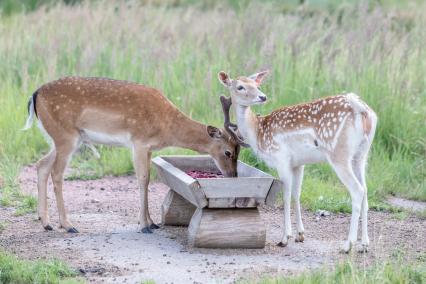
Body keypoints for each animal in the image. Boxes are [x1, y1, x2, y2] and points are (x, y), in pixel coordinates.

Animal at [23, 76, 243, 233]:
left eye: (239, 151)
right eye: (228, 152)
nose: (233, 175)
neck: (167, 126)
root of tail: (35, 94)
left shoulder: (149, 148)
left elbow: (146, 179)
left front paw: (151, 222)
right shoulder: (139, 142)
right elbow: (143, 179)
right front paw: (144, 226)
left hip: (61, 139)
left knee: (42, 165)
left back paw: (46, 223)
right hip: (66, 137)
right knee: (56, 173)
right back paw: (68, 225)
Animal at [218, 71, 378, 253]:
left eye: (256, 85)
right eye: (240, 86)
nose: (262, 96)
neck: (258, 133)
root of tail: (363, 110)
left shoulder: (281, 158)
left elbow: (286, 196)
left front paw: (284, 238)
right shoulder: (298, 164)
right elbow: (296, 194)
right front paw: (300, 235)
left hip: (339, 154)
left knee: (357, 190)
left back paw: (347, 245)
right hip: (361, 155)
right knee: (365, 190)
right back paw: (364, 244)